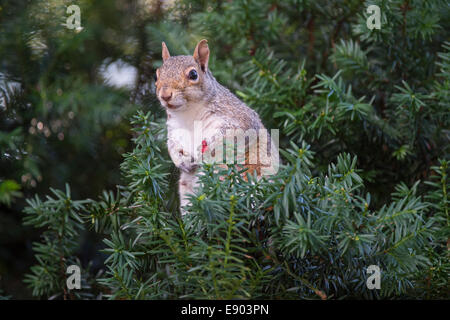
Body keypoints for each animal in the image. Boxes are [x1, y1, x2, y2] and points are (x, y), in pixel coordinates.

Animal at [156, 39, 280, 215]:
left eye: (193, 74)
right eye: (157, 74)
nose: (165, 95)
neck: (188, 114)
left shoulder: (239, 118)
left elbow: (230, 136)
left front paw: (209, 149)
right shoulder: (175, 129)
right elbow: (171, 146)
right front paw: (181, 160)